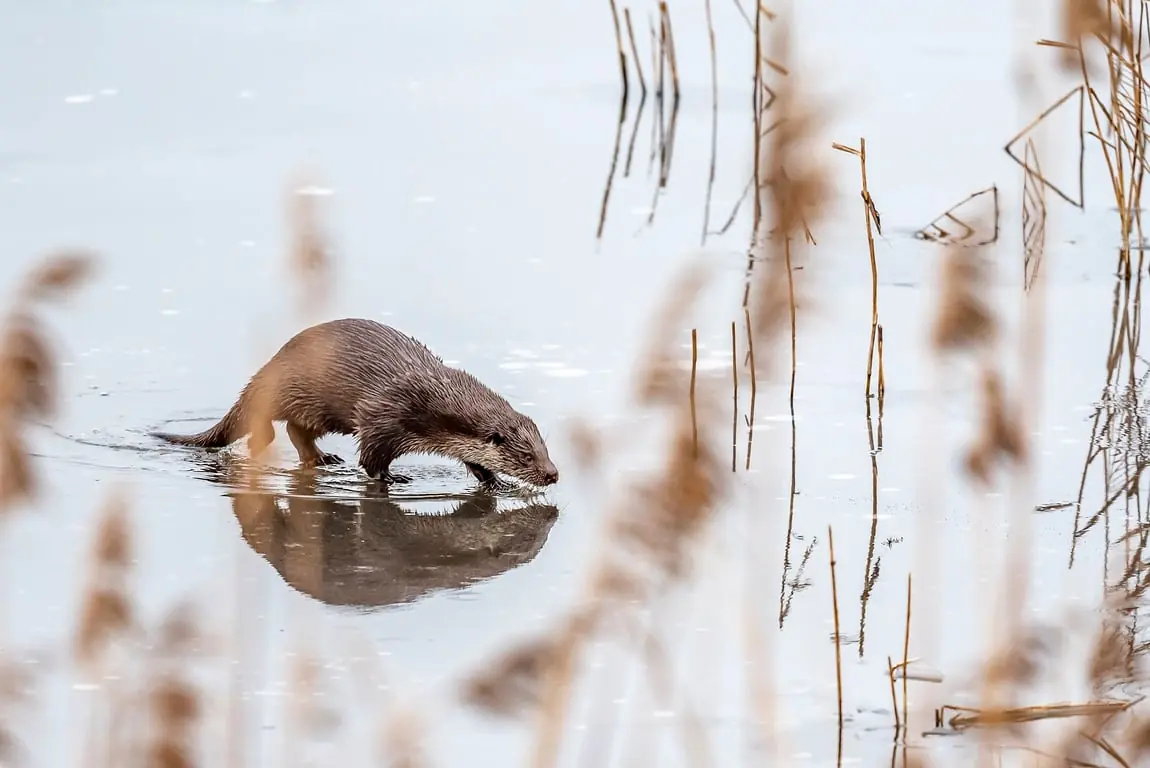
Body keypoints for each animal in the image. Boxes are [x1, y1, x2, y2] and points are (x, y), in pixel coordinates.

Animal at [151, 318, 559, 487]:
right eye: (527, 457)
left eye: (546, 450)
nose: (553, 474)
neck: (430, 399)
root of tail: (270, 365)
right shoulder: (383, 418)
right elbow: (372, 460)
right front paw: (392, 477)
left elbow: (474, 461)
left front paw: (495, 482)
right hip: (291, 391)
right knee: (265, 423)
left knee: (297, 430)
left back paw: (322, 458)